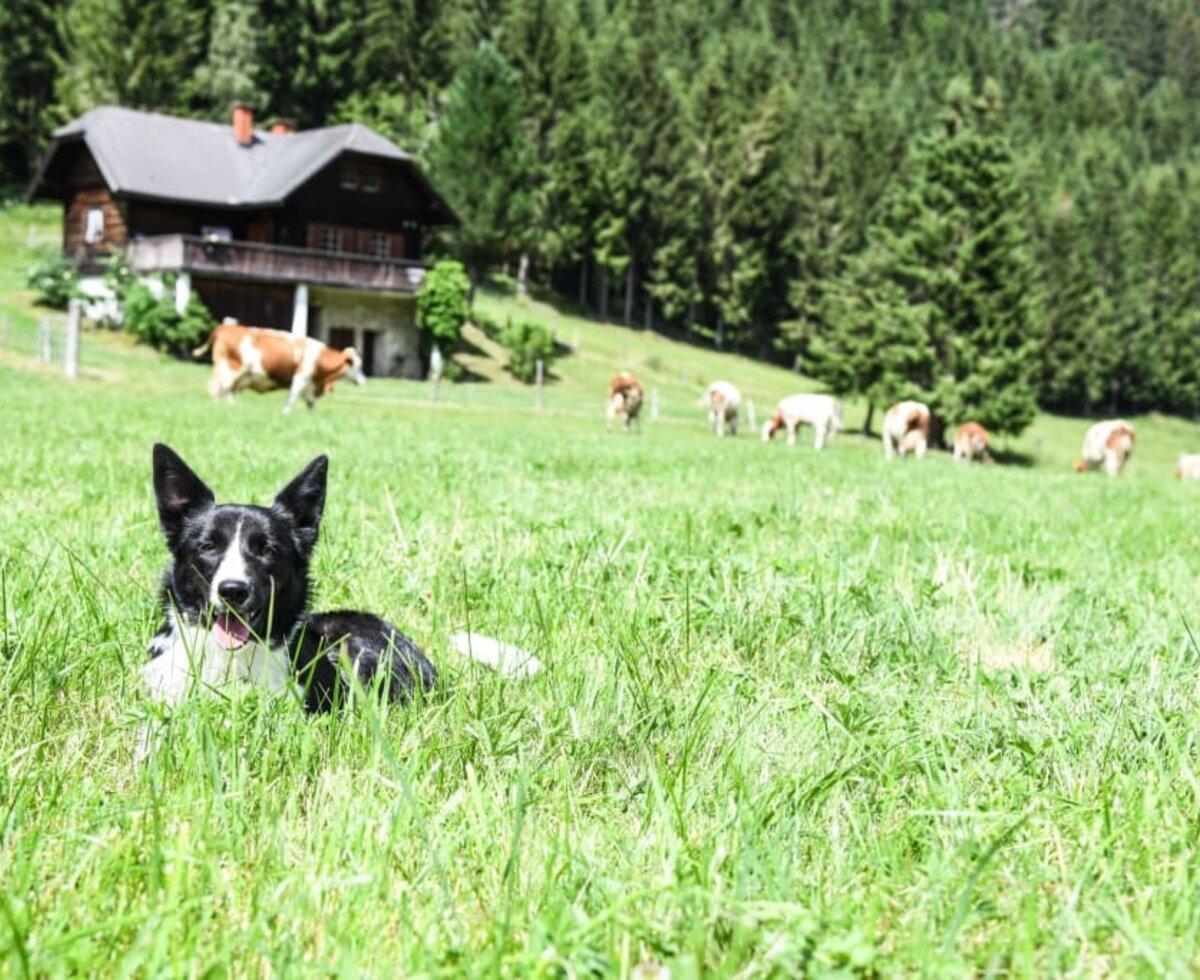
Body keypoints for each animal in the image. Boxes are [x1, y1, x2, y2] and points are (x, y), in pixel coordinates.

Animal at [192, 323, 364, 410]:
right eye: (357, 366)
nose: (363, 381)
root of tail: (225, 327)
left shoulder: (309, 385)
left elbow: (311, 403)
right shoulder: (300, 377)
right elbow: (292, 399)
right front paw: (285, 414)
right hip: (232, 367)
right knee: (221, 386)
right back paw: (226, 406)